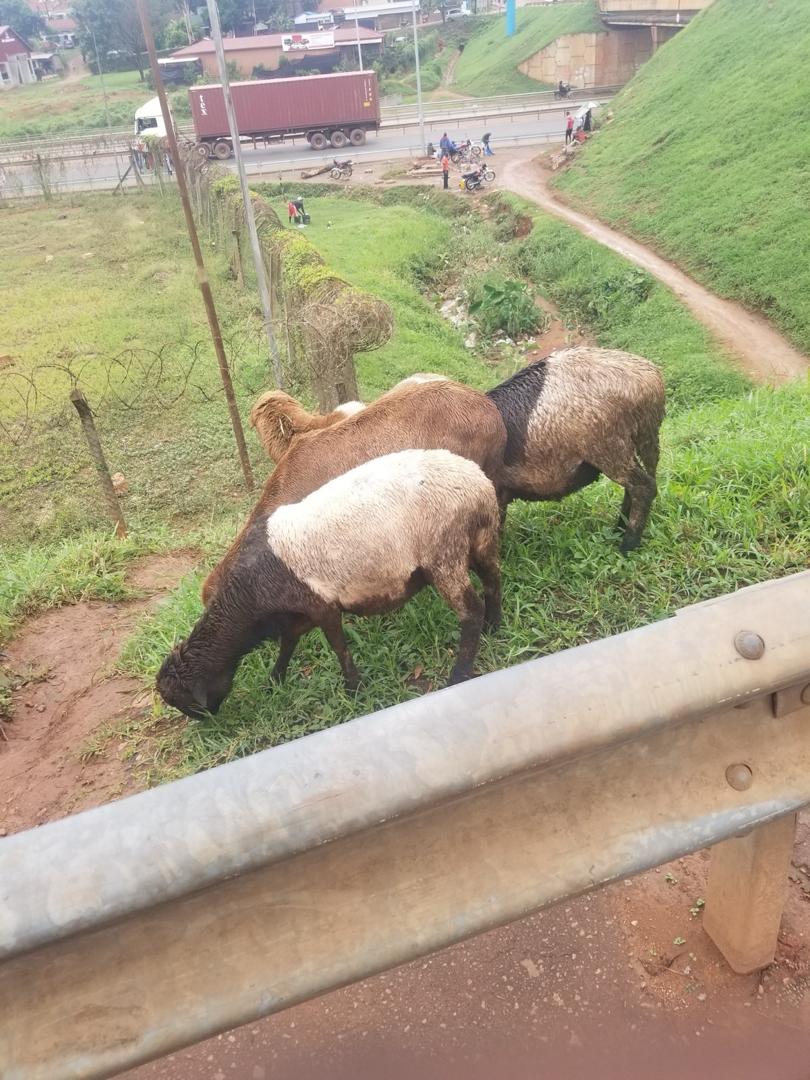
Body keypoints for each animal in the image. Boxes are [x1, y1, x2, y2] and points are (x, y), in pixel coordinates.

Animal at [157, 449, 502, 717]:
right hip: (478, 540)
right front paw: (276, 679)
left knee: (470, 611)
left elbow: (338, 646)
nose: (208, 721)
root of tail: (478, 484)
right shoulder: (300, 613)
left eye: (182, 701)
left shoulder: (321, 605)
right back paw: (494, 625)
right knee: (493, 580)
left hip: (443, 551)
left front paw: (353, 689)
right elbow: (289, 642)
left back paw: (459, 673)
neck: (250, 597)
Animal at [486, 347, 665, 552]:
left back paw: (625, 548)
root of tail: (652, 381)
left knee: (644, 486)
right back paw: (617, 531)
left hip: (610, 447)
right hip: (635, 445)